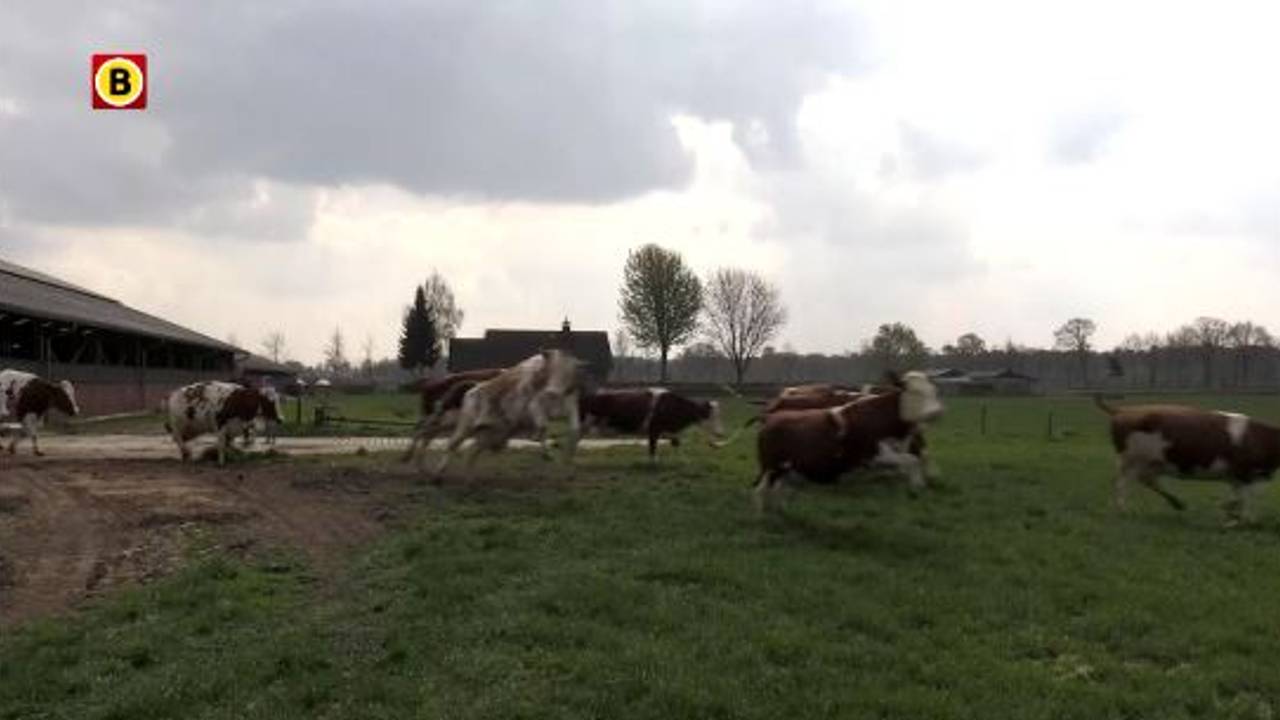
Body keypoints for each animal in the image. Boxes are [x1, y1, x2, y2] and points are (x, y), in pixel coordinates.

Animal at [430, 349, 583, 482]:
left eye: (568, 372)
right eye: (551, 368)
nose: (552, 392)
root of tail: (471, 391)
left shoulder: (570, 407)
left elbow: (574, 430)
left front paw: (568, 465)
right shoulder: (534, 406)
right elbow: (542, 427)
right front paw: (546, 452)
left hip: (487, 436)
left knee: (472, 452)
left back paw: (469, 479)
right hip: (465, 427)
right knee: (452, 445)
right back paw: (437, 475)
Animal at [578, 388, 726, 462]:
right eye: (709, 416)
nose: (720, 433)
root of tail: (587, 397)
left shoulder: (668, 431)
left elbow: (676, 443)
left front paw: (685, 462)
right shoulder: (654, 430)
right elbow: (653, 448)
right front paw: (653, 464)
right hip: (583, 424)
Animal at [753, 371, 944, 512]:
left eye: (934, 390)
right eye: (915, 392)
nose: (936, 412)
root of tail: (771, 417)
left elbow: (916, 458)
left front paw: (918, 484)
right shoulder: (873, 455)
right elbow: (912, 460)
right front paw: (918, 483)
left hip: (783, 468)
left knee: (778, 488)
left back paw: (780, 511)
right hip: (771, 466)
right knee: (761, 490)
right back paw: (763, 515)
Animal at [1095, 396, 1280, 525]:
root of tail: (1123, 410)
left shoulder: (1240, 476)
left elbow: (1241, 497)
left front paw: (1234, 516)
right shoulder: (1245, 473)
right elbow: (1246, 497)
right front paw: (1242, 519)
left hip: (1151, 462)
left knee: (1148, 480)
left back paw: (1178, 503)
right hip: (1132, 460)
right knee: (1122, 484)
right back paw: (1124, 511)